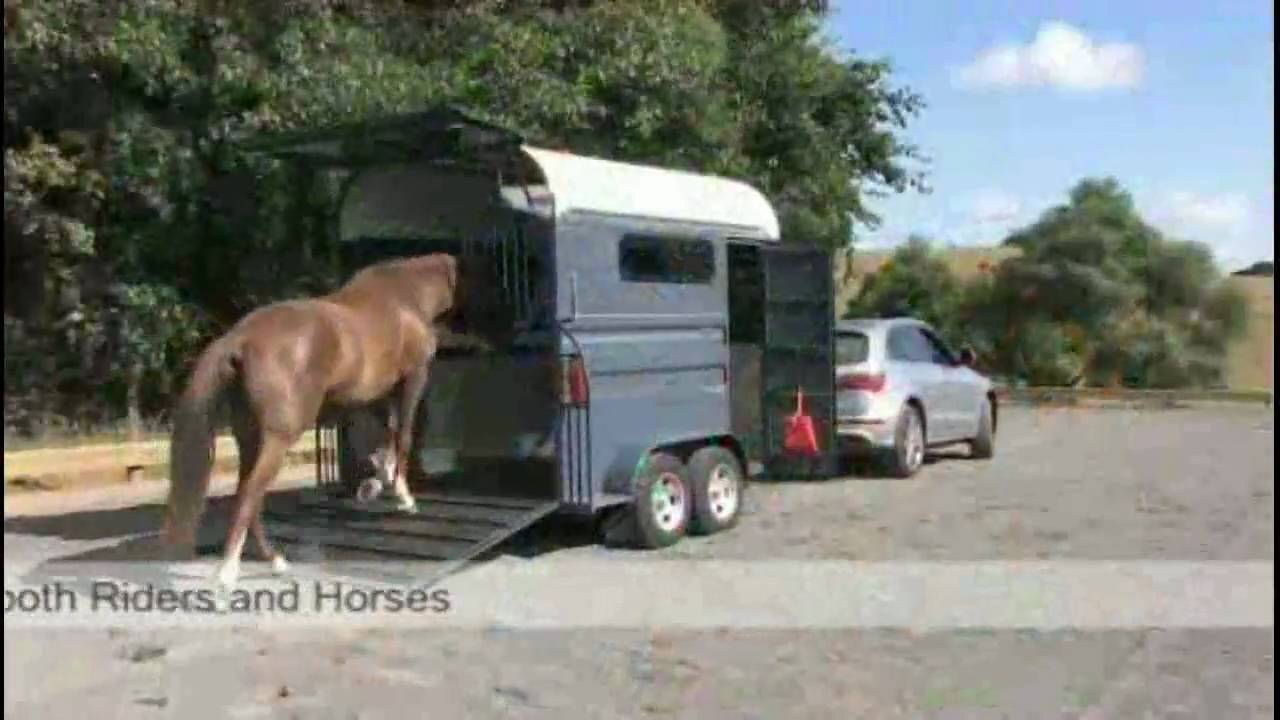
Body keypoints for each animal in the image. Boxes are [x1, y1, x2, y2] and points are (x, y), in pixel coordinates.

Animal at [161, 252, 503, 590]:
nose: (491, 337)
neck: (406, 297)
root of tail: (240, 339)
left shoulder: (375, 395)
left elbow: (388, 433)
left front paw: (378, 478)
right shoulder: (413, 378)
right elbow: (404, 434)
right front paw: (403, 496)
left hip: (249, 438)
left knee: (249, 492)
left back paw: (274, 561)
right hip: (278, 438)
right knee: (250, 494)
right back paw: (229, 571)